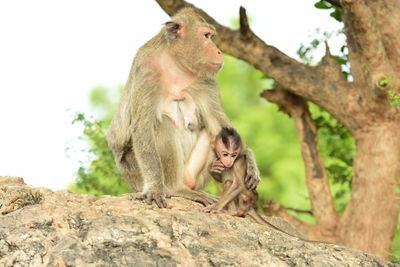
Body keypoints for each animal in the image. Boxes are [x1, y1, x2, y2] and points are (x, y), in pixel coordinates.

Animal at [108, 7, 260, 208]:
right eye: (206, 36)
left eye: (211, 36)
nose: (219, 51)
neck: (176, 66)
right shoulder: (147, 72)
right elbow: (142, 127)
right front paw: (154, 189)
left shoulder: (206, 81)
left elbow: (219, 126)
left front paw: (249, 158)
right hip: (135, 174)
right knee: (163, 125)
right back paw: (176, 189)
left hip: (195, 174)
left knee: (215, 136)